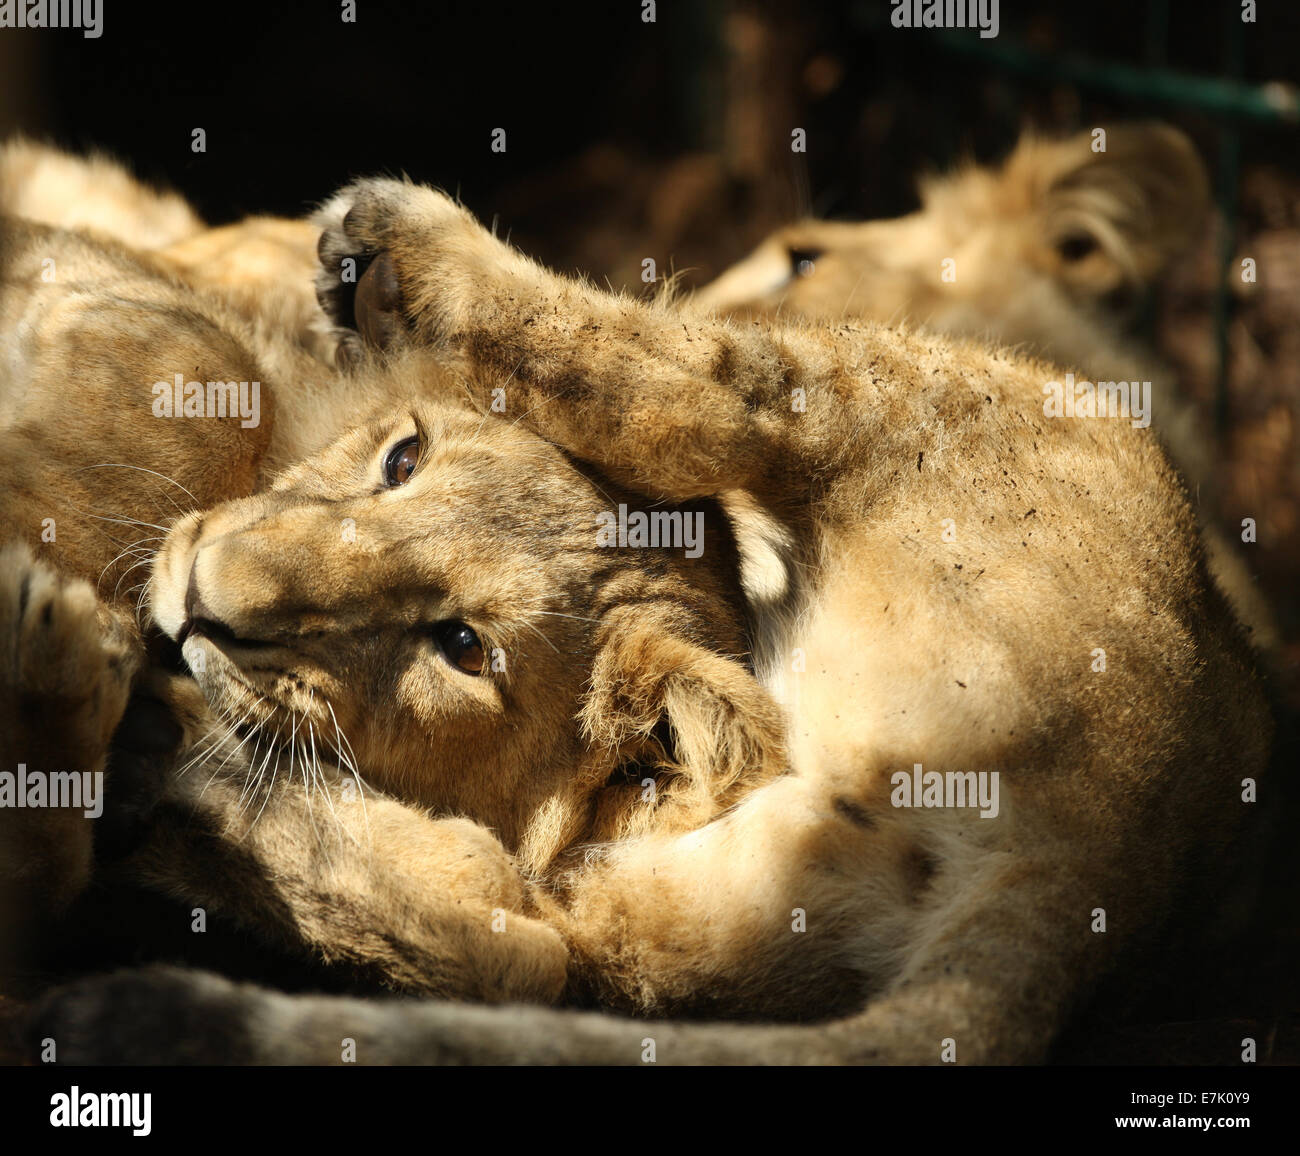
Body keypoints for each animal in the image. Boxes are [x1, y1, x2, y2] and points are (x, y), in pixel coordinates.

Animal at [13, 157, 1273, 1065]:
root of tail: (1103, 838)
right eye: (400, 461)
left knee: (691, 393)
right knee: (515, 941)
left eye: (460, 647)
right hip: (705, 911)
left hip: (894, 398)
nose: (201, 599)